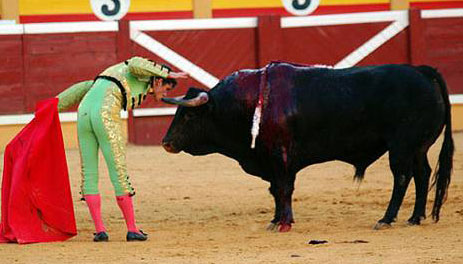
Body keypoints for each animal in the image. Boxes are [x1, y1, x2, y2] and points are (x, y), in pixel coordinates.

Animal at [161, 63, 454, 232]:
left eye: (188, 115)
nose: (166, 143)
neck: (249, 103)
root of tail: (423, 72)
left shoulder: (280, 155)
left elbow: (283, 188)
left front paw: (284, 223)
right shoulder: (271, 159)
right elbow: (275, 190)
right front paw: (275, 220)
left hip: (401, 147)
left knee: (402, 177)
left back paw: (386, 219)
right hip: (418, 147)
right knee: (422, 174)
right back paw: (415, 217)